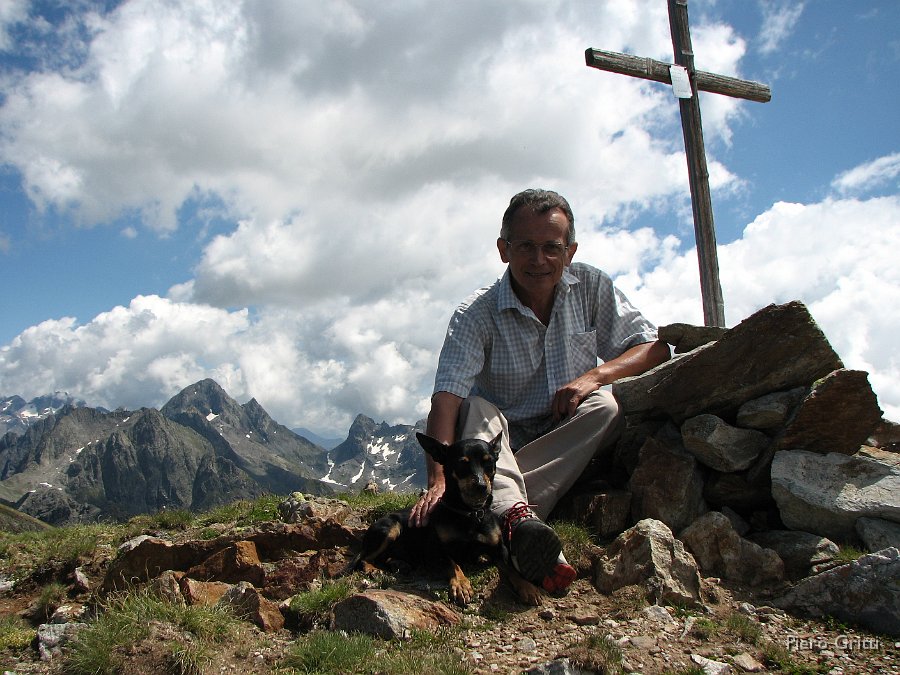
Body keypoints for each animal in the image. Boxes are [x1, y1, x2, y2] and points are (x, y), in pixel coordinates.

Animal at [344, 434, 540, 608]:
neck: (468, 513)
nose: (481, 486)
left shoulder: (499, 549)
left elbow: (512, 568)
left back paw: (398, 563)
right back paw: (373, 568)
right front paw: (461, 585)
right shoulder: (434, 552)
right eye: (462, 463)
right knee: (365, 558)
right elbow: (453, 563)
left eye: (489, 462)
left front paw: (528, 587)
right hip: (391, 528)